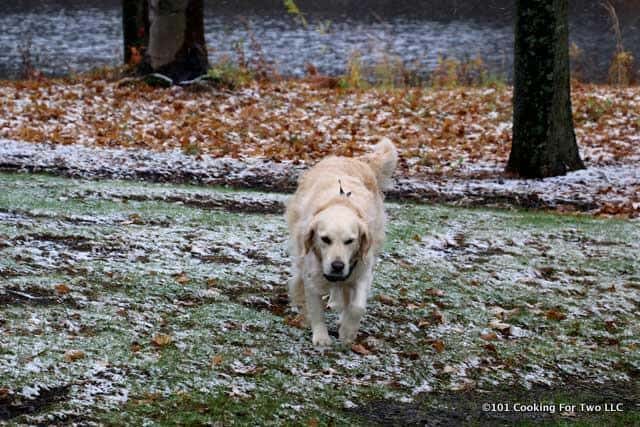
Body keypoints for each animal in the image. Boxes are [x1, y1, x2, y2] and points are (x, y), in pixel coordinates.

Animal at [284, 140, 396, 348]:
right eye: (325, 239)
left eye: (350, 241)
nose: (337, 265)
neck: (340, 203)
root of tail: (352, 158)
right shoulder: (313, 276)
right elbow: (316, 309)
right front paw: (321, 337)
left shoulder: (362, 271)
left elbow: (357, 306)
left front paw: (347, 331)